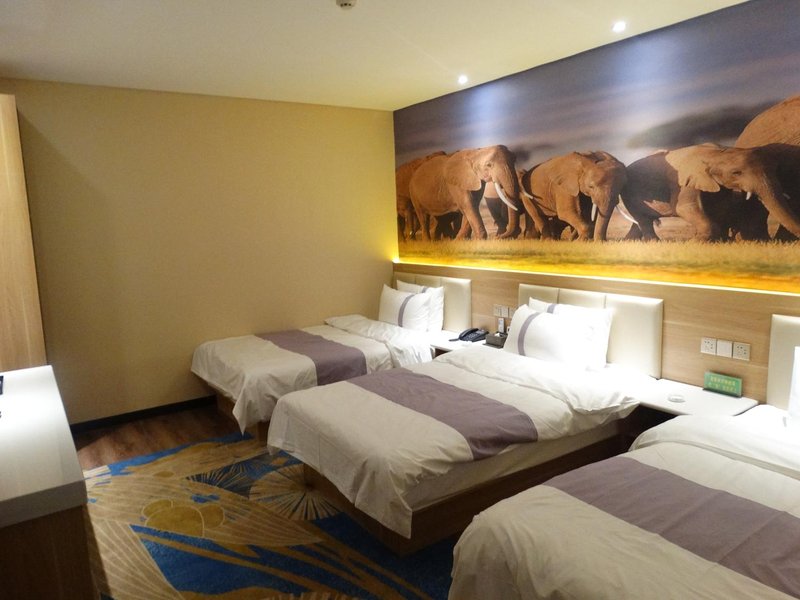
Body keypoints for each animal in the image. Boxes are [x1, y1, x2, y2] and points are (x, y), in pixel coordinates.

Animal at [621, 143, 800, 241]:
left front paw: (718, 241)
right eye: (736, 173)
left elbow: (720, 207)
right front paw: (694, 243)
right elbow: (684, 208)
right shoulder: (686, 180)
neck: (718, 153)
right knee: (643, 220)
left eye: (774, 169)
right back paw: (655, 243)